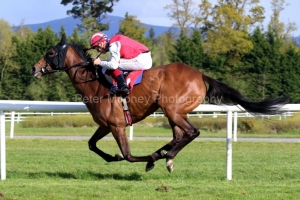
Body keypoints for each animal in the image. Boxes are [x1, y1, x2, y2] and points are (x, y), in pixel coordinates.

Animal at [30, 33, 288, 173]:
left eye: (51, 52)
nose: (34, 68)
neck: (94, 83)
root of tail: (200, 75)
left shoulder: (116, 125)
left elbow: (128, 155)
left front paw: (147, 160)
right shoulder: (105, 124)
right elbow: (92, 145)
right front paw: (114, 157)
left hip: (172, 109)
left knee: (192, 132)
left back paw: (165, 156)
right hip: (173, 112)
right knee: (179, 135)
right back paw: (166, 154)